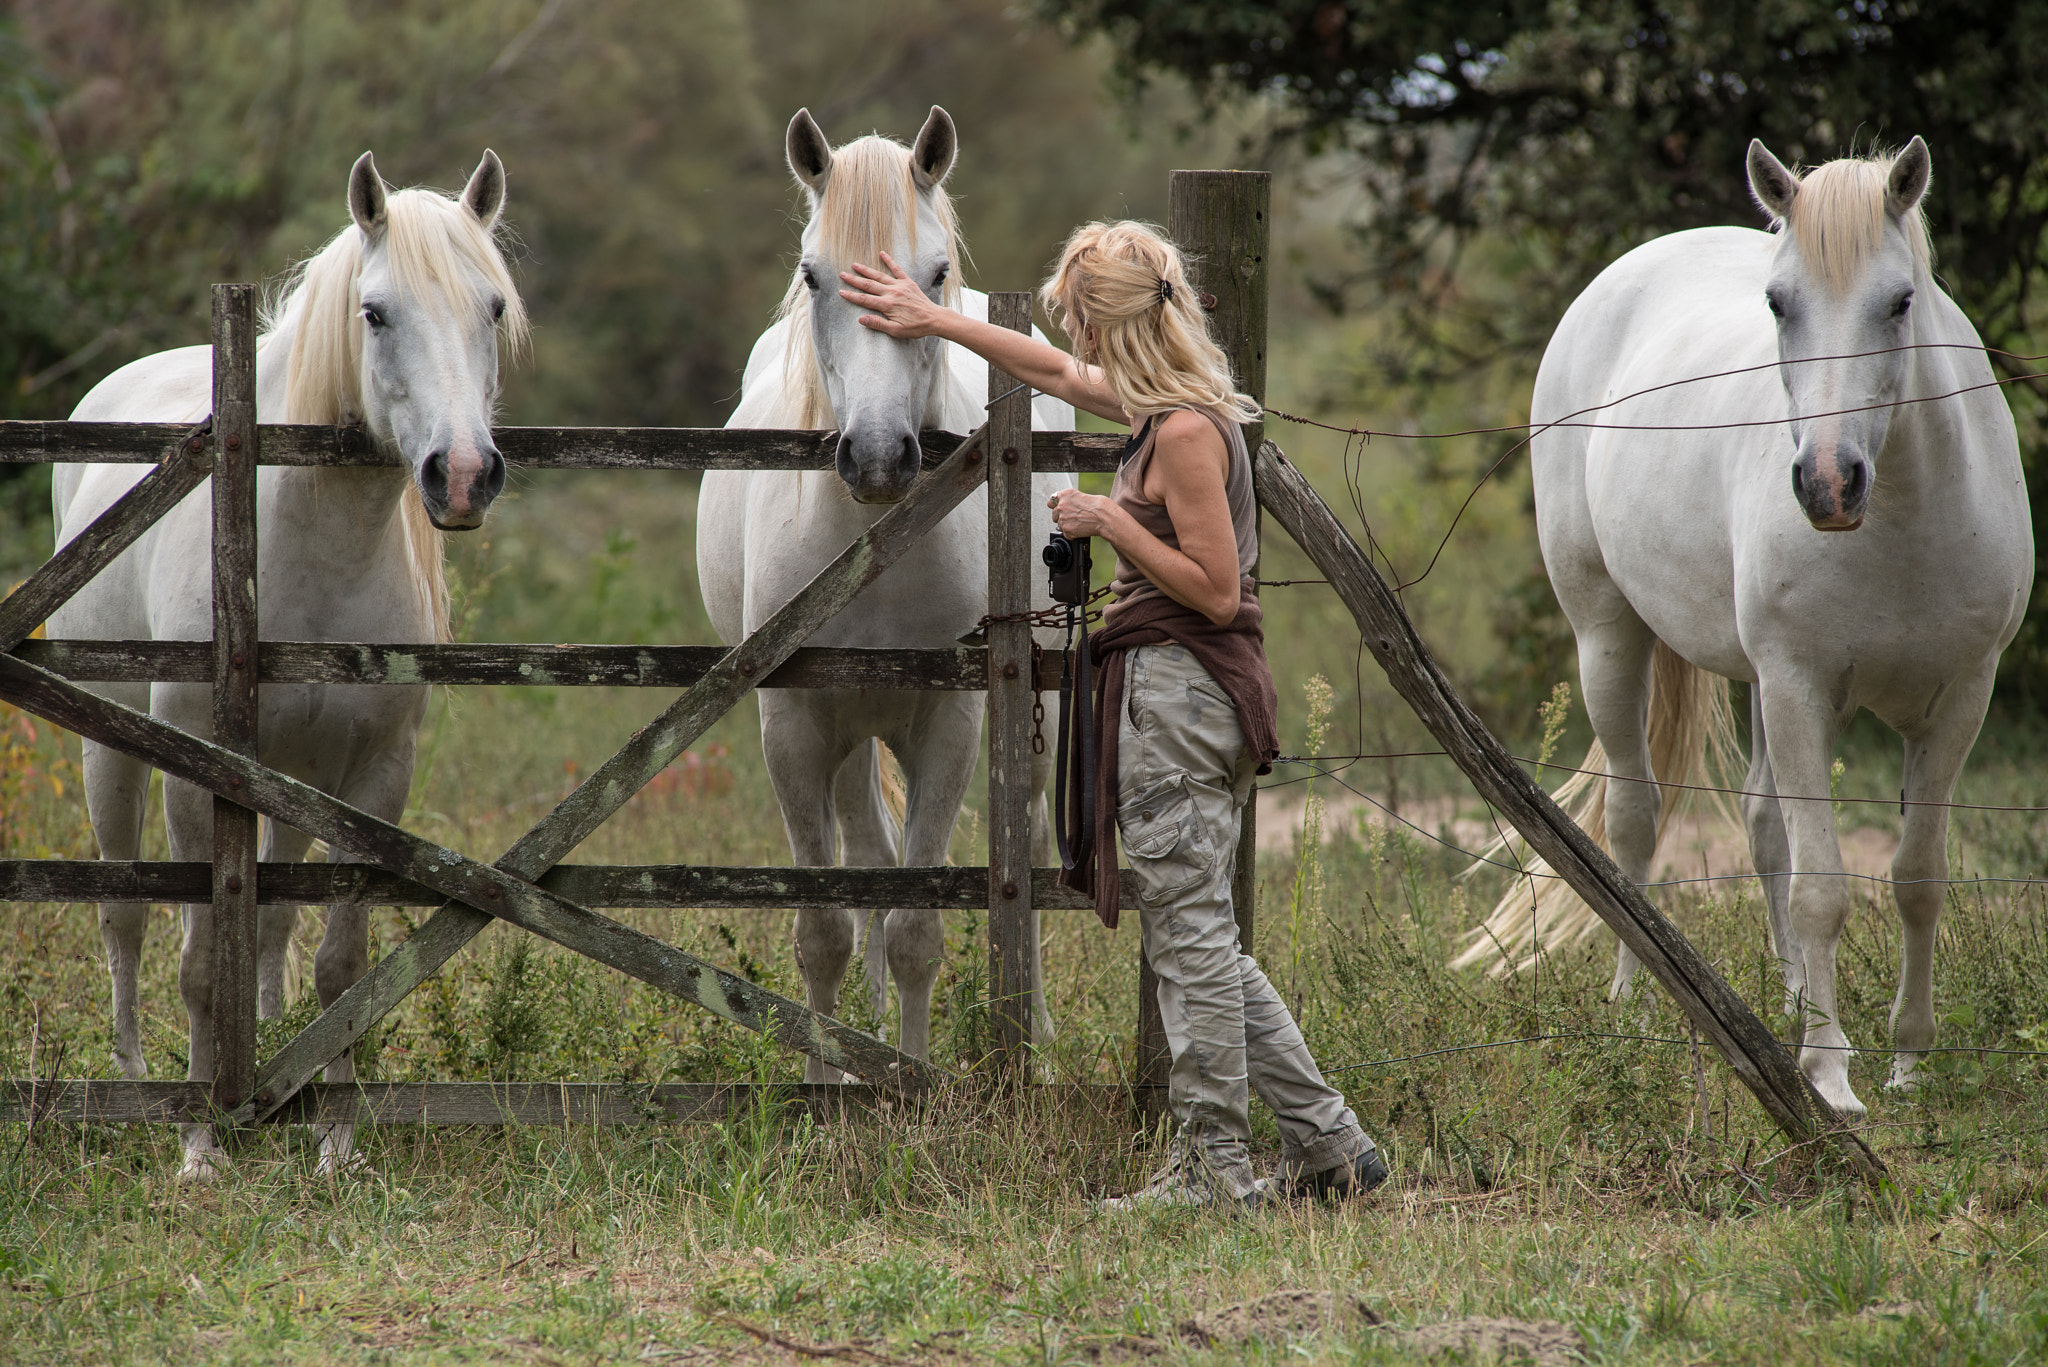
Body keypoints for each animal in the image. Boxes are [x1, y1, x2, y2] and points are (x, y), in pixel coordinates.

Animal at [52, 150, 526, 1177]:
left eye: (493, 308)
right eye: (375, 312)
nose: (463, 476)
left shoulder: (372, 776)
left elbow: (337, 963)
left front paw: (337, 1140)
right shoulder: (201, 776)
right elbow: (197, 961)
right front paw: (199, 1144)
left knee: (267, 923)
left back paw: (273, 1057)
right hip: (110, 751)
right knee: (123, 916)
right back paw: (136, 1077)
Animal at [699, 107, 1075, 1081]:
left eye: (933, 272)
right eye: (811, 274)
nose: (875, 457)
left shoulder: (949, 724)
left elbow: (915, 929)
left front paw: (914, 1084)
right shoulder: (794, 728)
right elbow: (827, 926)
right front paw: (828, 1078)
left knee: (1025, 826)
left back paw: (1035, 1031)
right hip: (852, 734)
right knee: (867, 850)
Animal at [1455, 138, 2032, 1118]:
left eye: (1900, 300)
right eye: (1777, 303)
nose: (1828, 484)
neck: (1905, 516)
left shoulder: (1960, 698)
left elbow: (1916, 878)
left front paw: (1908, 1057)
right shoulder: (1801, 687)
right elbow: (1823, 888)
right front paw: (1830, 1078)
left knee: (1764, 827)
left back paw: (1792, 1000)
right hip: (1609, 636)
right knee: (1633, 824)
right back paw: (1631, 1010)